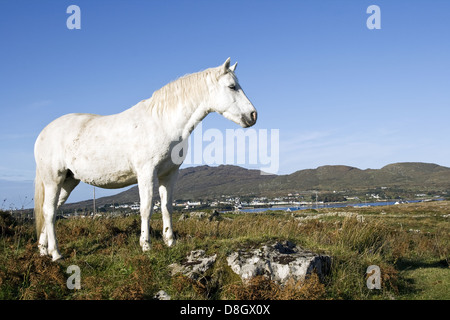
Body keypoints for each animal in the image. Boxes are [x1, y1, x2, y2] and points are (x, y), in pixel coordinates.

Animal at [34, 58, 256, 262]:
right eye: (232, 86)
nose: (253, 115)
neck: (163, 122)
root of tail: (43, 133)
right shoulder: (146, 173)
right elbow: (147, 208)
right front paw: (146, 245)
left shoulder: (169, 174)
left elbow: (166, 207)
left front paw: (170, 241)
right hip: (54, 179)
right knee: (49, 211)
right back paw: (56, 254)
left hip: (69, 181)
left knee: (49, 212)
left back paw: (44, 250)